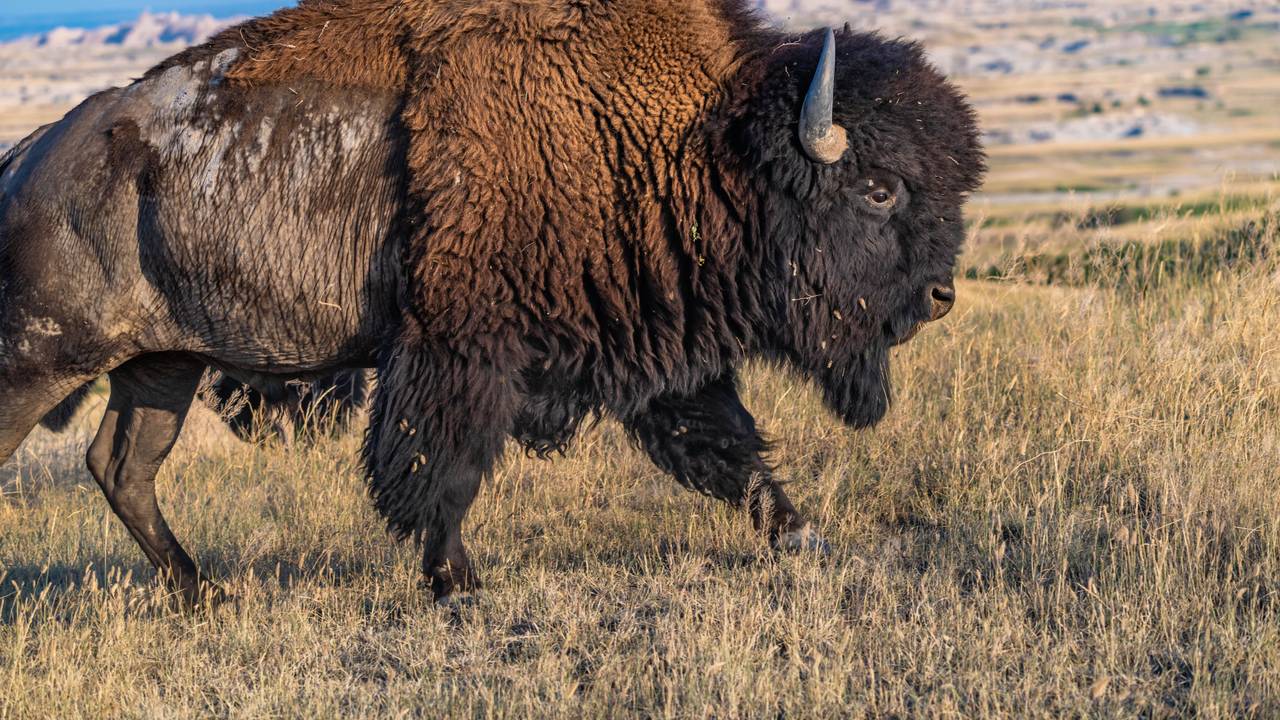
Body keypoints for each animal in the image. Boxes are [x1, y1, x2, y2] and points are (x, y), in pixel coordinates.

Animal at [0, 0, 983, 605]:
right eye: (880, 189)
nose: (940, 295)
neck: (694, 139)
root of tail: (33, 154)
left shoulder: (657, 356)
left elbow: (727, 449)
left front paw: (803, 538)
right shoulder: (458, 351)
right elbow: (440, 468)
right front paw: (459, 583)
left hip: (162, 362)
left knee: (124, 467)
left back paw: (205, 594)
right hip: (45, 355)